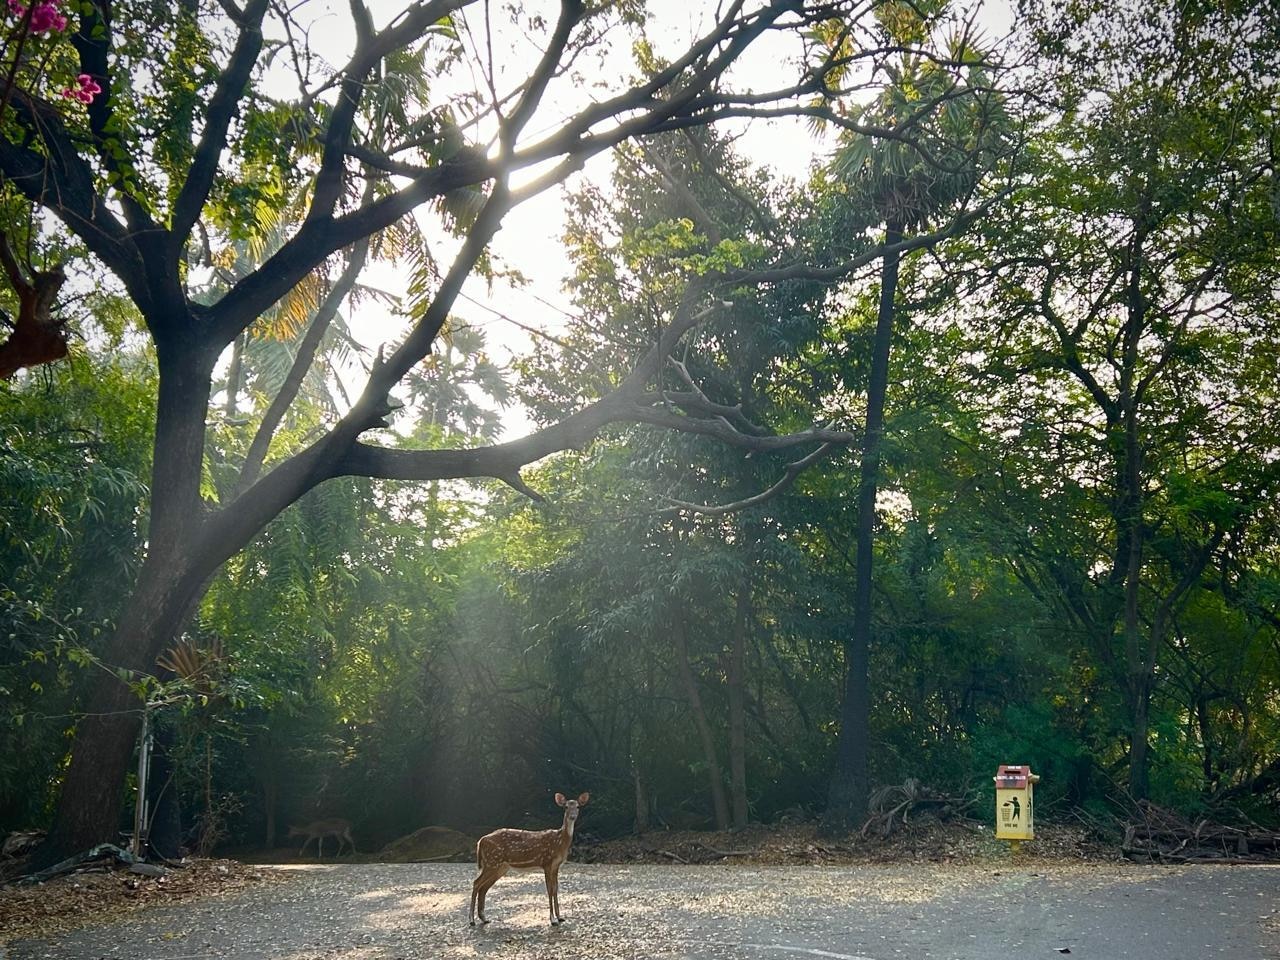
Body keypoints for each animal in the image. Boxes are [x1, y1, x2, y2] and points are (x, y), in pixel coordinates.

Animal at [469, 792, 589, 927]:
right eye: (566, 807)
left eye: (578, 806)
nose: (572, 816)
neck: (559, 842)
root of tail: (481, 841)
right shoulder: (546, 862)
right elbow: (549, 890)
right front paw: (552, 919)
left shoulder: (556, 865)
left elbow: (555, 889)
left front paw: (560, 917)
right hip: (492, 861)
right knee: (476, 883)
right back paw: (471, 920)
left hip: (499, 867)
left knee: (483, 887)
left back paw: (484, 918)